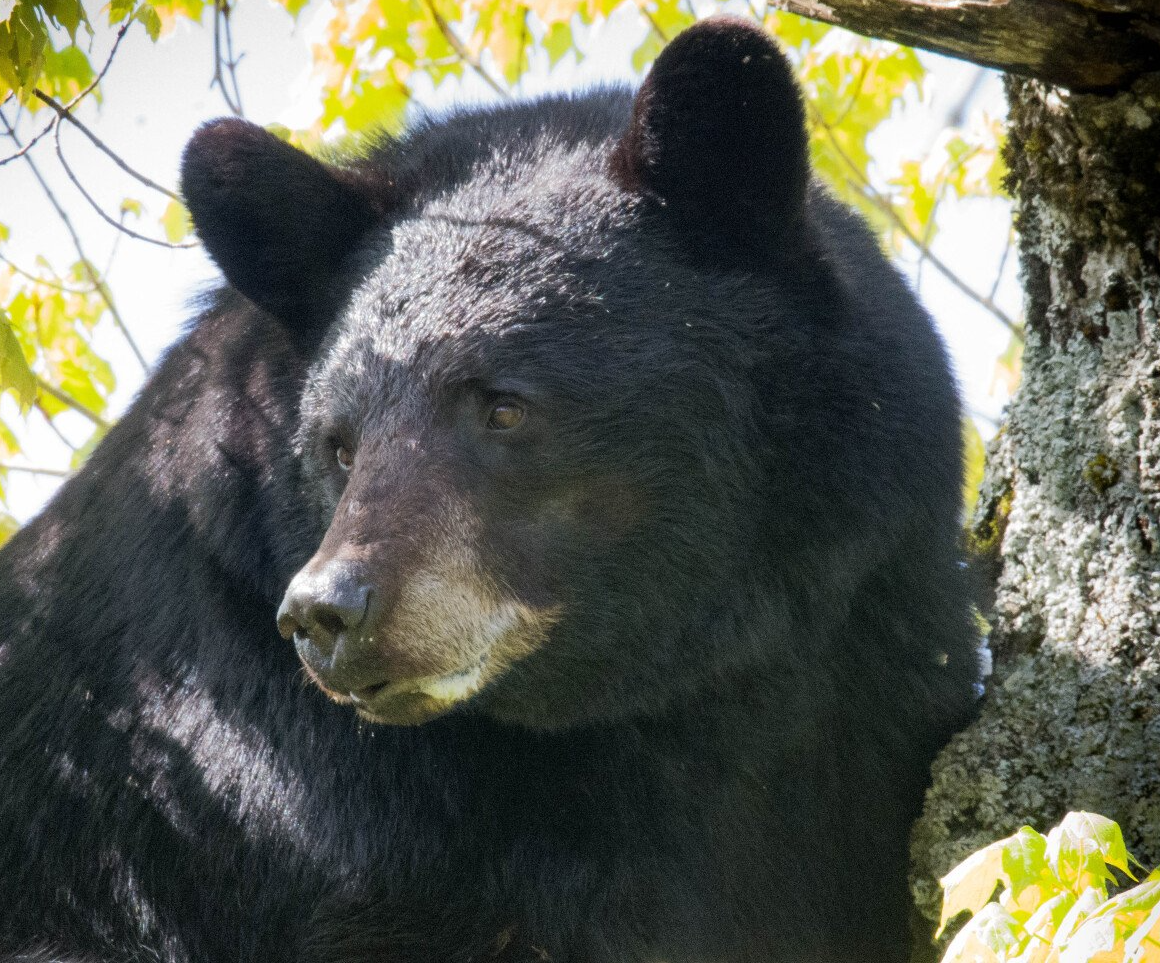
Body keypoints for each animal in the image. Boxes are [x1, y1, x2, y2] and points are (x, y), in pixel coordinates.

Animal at [0, 17, 979, 963]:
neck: (687, 689)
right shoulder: (301, 800)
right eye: (338, 443)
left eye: (503, 406)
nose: (326, 610)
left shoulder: (859, 702)